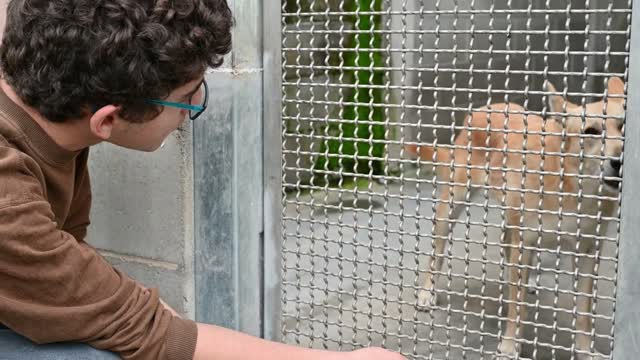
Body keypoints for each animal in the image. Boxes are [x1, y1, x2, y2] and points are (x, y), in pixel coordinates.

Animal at [404, 77, 624, 358]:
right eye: (591, 131)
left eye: (622, 126)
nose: (619, 160)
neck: (572, 187)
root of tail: (485, 107)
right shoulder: (523, 241)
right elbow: (516, 305)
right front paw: (510, 344)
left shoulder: (588, 250)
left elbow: (585, 311)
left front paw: (585, 349)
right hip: (452, 204)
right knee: (438, 252)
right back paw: (427, 291)